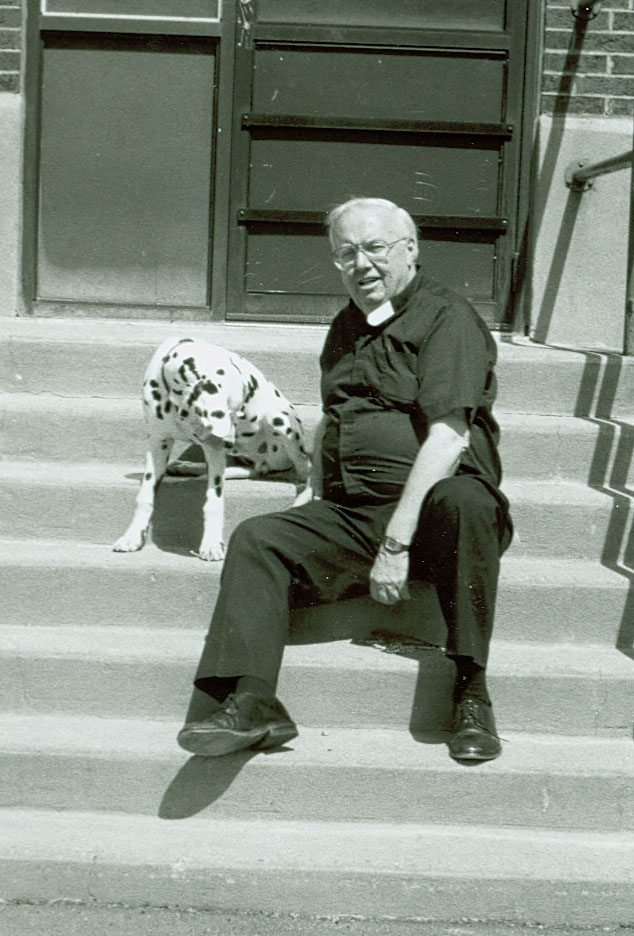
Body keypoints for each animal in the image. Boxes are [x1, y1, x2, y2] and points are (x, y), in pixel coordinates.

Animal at [115, 342, 312, 564]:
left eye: (240, 411)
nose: (230, 441)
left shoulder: (213, 447)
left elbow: (214, 502)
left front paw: (211, 544)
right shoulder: (159, 442)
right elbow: (145, 495)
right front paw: (132, 535)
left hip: (282, 422)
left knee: (307, 472)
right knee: (247, 470)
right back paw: (187, 467)